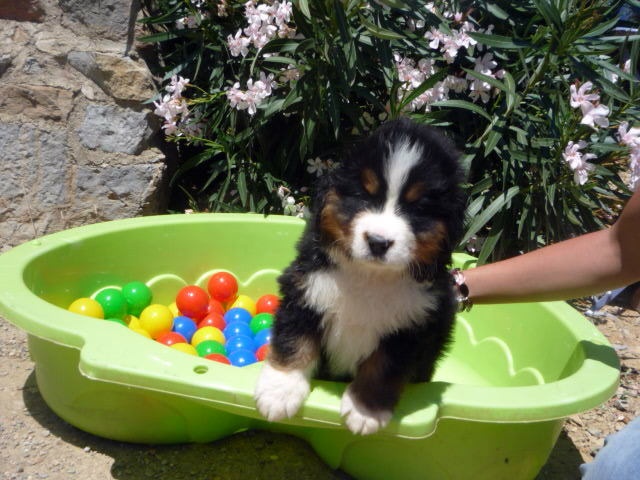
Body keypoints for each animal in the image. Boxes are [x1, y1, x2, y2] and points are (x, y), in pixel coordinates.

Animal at [254, 117, 466, 435]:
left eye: (416, 208)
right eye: (364, 196)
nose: (378, 242)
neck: (370, 276)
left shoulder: (413, 326)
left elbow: (383, 367)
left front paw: (366, 410)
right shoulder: (305, 290)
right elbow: (294, 341)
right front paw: (279, 392)